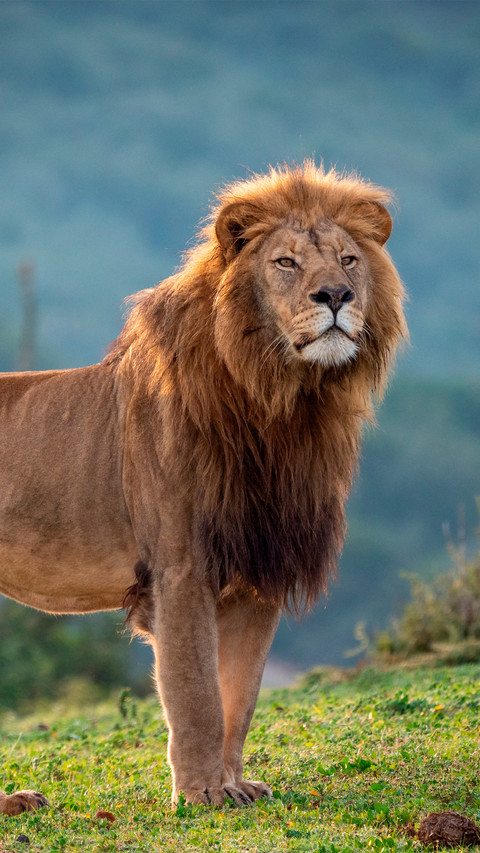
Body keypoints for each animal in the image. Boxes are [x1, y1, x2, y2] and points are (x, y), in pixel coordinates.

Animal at [0, 162, 407, 813]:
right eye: (286, 263)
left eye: (348, 260)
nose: (336, 296)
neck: (282, 404)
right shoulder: (181, 568)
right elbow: (195, 694)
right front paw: (200, 793)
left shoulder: (259, 571)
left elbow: (239, 697)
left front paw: (234, 784)